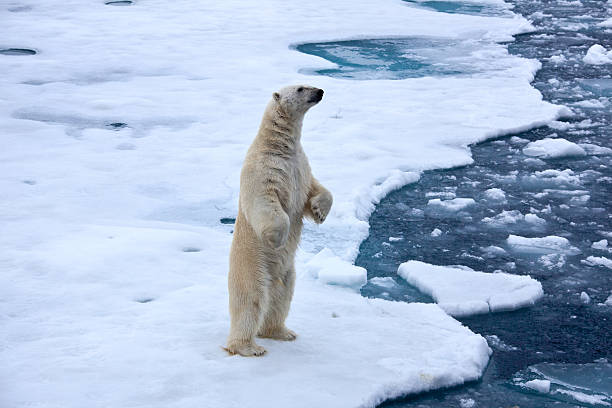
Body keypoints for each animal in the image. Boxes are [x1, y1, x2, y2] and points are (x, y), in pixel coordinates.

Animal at [226, 84, 332, 356]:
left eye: (307, 83)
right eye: (301, 88)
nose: (320, 91)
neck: (279, 146)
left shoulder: (300, 166)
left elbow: (315, 190)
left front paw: (320, 212)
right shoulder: (263, 169)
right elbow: (265, 200)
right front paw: (278, 237)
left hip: (286, 272)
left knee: (282, 296)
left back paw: (281, 332)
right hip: (252, 264)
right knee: (251, 299)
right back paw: (249, 347)